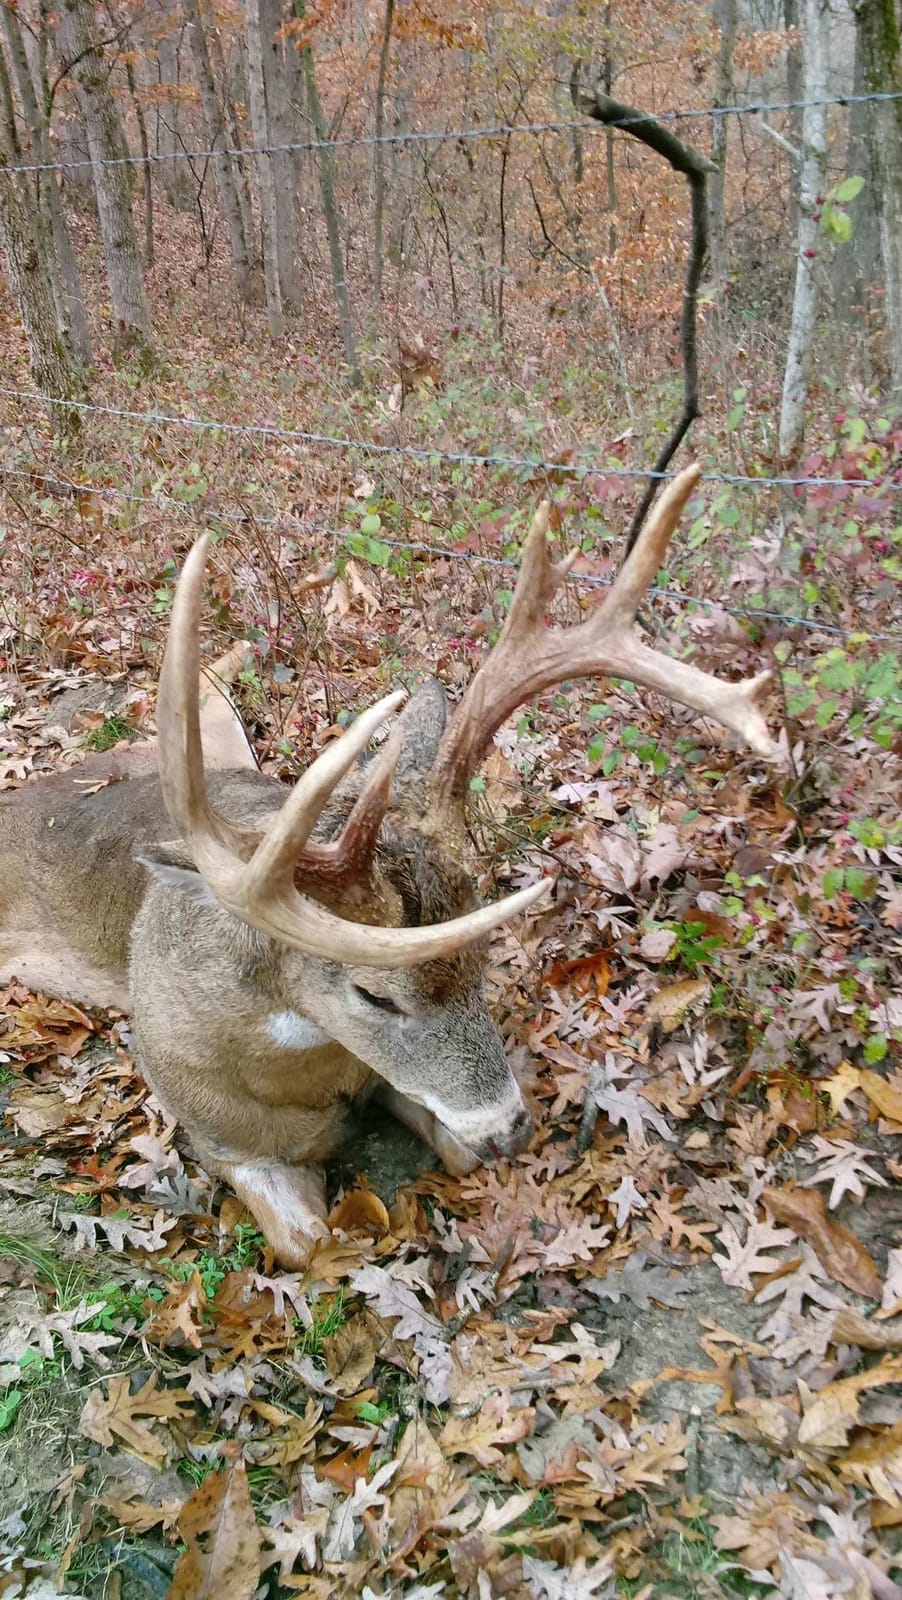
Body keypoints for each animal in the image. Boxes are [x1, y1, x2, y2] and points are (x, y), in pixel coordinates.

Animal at [0, 466, 776, 1265]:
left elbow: (451, 1153)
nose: (511, 1129)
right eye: (374, 995)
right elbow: (304, 1244)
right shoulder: (218, 1139)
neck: (297, 1077)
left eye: (483, 958)